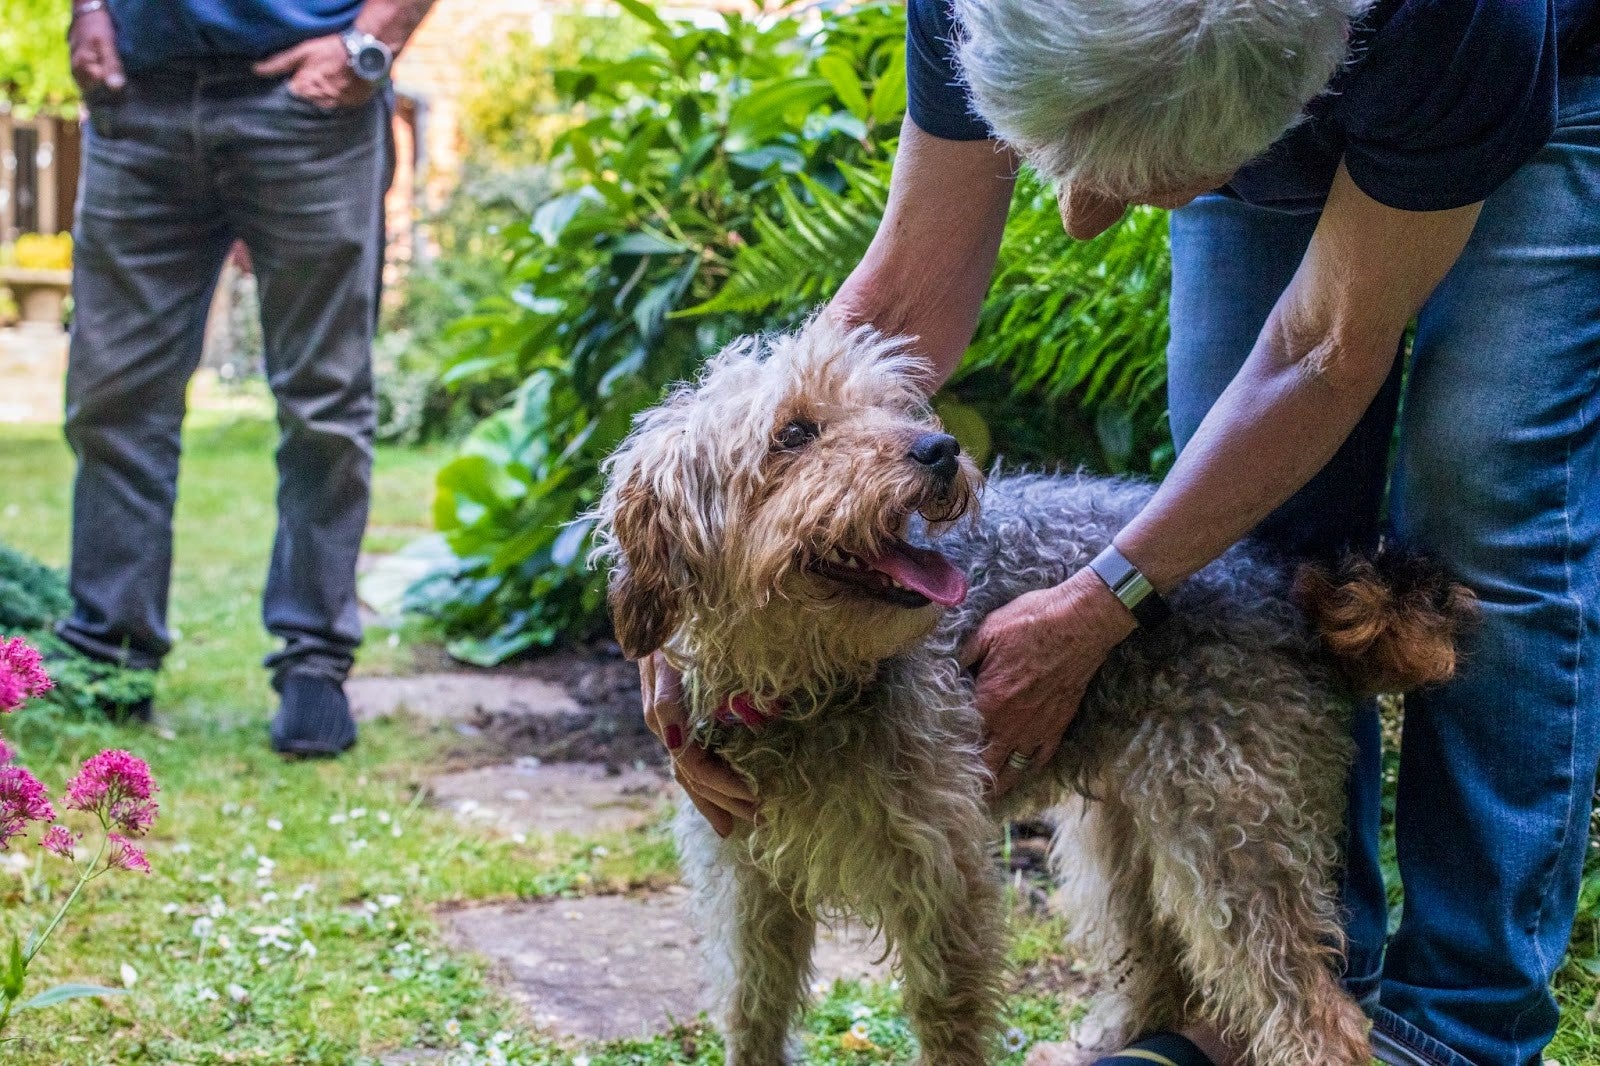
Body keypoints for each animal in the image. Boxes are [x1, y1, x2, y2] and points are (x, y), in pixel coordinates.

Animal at [595, 316, 1465, 1062]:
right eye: (795, 433)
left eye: (889, 407)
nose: (940, 447)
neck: (806, 690)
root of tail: (1287, 582)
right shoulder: (747, 886)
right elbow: (753, 1012)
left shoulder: (941, 876)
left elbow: (947, 1020)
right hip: (1124, 836)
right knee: (1161, 969)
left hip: (1229, 839)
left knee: (1319, 1017)